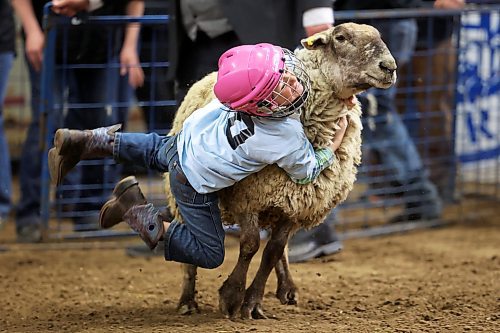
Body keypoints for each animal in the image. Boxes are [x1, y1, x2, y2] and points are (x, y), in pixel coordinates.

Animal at [166, 22, 396, 318]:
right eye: (341, 37)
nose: (389, 66)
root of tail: (206, 77)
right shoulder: (248, 197)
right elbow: (250, 245)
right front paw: (231, 297)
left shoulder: (296, 203)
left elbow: (273, 250)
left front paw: (252, 302)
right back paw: (187, 300)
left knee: (280, 247)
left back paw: (287, 287)